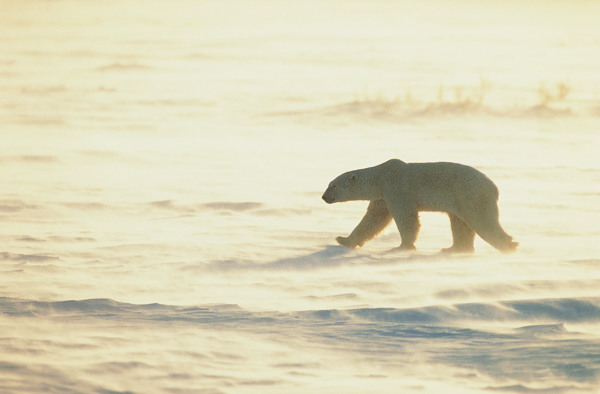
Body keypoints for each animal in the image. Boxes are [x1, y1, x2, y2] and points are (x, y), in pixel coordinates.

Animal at [322, 159, 516, 254]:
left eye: (333, 185)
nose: (324, 197)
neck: (380, 176)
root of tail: (494, 187)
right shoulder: (382, 196)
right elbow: (373, 220)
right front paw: (343, 239)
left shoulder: (396, 187)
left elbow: (406, 216)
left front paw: (402, 246)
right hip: (460, 200)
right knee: (460, 224)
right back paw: (453, 248)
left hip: (470, 195)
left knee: (482, 221)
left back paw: (509, 245)